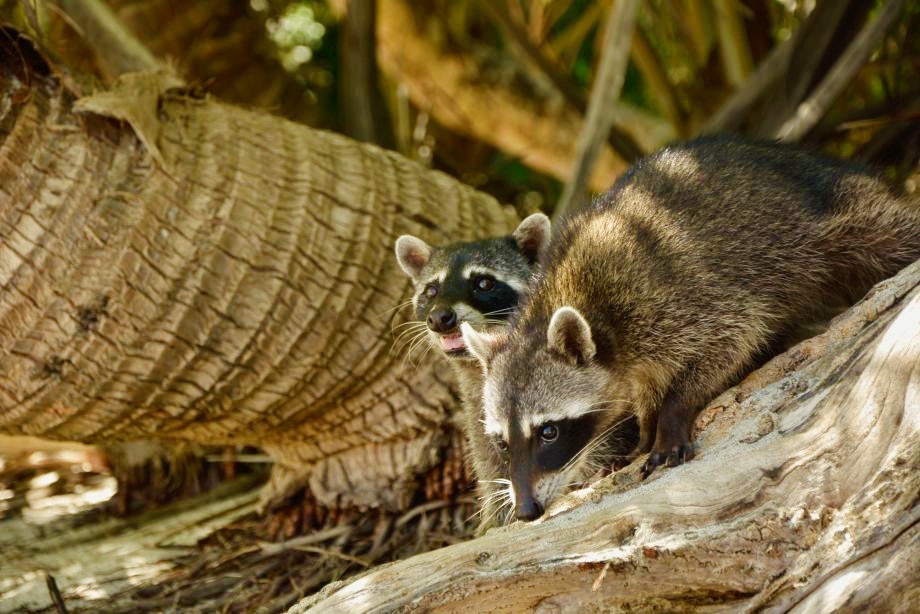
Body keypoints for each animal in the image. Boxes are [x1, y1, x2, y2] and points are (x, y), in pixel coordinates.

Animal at [392, 214, 548, 528]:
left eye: (484, 283)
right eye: (431, 290)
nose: (440, 317)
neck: (476, 362)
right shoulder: (480, 406)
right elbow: (489, 459)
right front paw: (495, 517)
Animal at [464, 137, 920, 524]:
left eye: (549, 431)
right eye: (501, 441)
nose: (526, 510)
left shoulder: (671, 294)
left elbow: (731, 338)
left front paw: (672, 413)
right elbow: (648, 387)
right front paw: (646, 429)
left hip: (832, 219)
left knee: (887, 233)